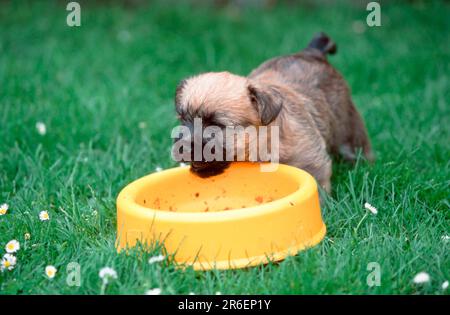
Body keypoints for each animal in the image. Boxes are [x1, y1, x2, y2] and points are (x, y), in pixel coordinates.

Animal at [174, 32, 374, 193]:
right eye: (183, 120)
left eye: (215, 126)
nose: (182, 147)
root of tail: (312, 52)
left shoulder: (313, 164)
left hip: (347, 126)